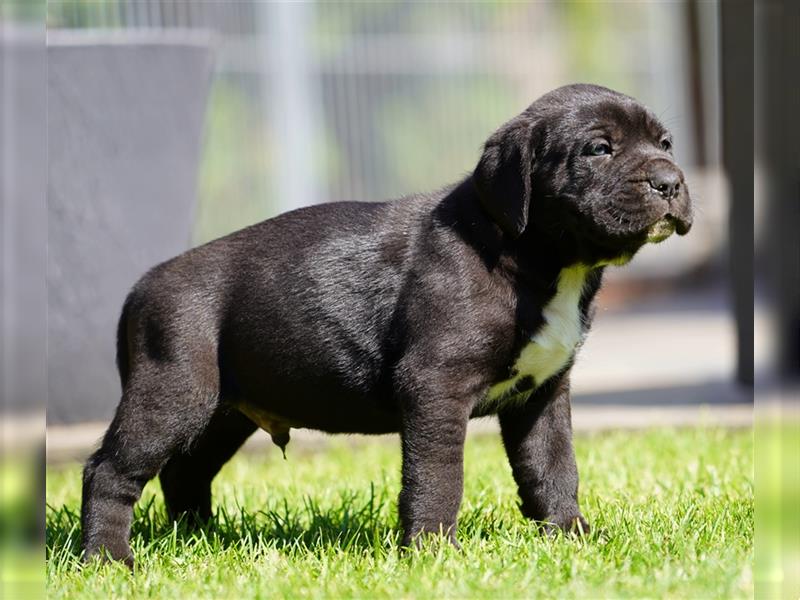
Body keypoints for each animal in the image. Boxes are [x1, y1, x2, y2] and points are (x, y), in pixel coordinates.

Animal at [83, 82, 692, 564]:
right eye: (599, 149)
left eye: (666, 145)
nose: (669, 182)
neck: (537, 257)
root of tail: (140, 288)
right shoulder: (436, 387)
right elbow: (438, 475)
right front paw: (432, 551)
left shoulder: (540, 395)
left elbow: (552, 467)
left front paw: (571, 537)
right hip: (173, 392)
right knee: (109, 470)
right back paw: (110, 559)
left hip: (223, 411)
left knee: (185, 473)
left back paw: (203, 541)